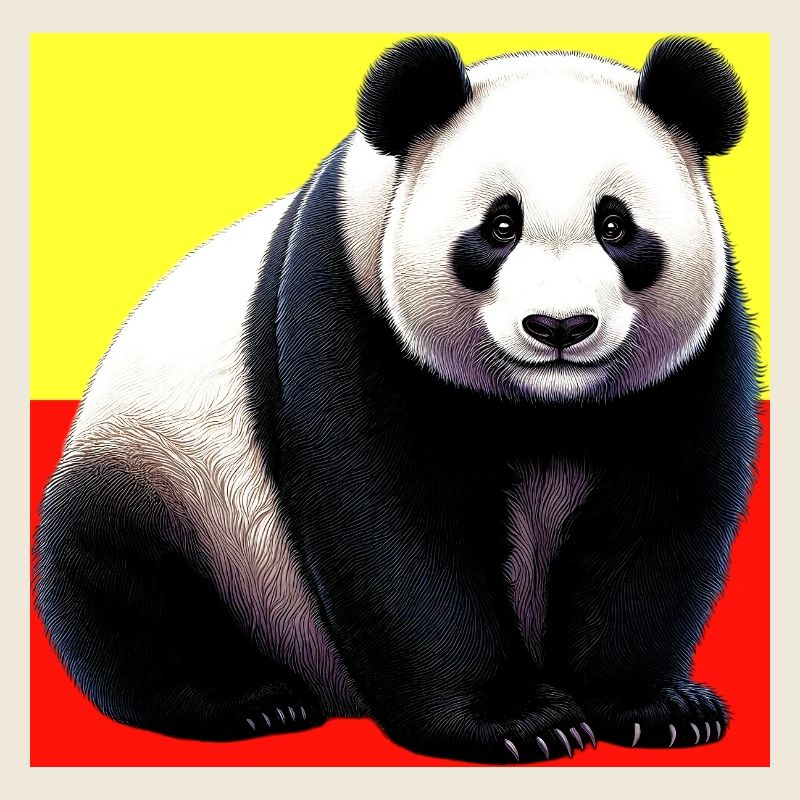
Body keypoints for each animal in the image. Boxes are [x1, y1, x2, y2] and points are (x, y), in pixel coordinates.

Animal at [34, 36, 760, 764]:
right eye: (500, 226)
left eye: (615, 225)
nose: (559, 326)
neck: (544, 406)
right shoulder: (346, 308)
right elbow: (393, 524)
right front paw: (517, 721)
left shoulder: (690, 362)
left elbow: (658, 519)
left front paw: (658, 708)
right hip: (166, 469)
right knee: (124, 584)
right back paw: (253, 701)